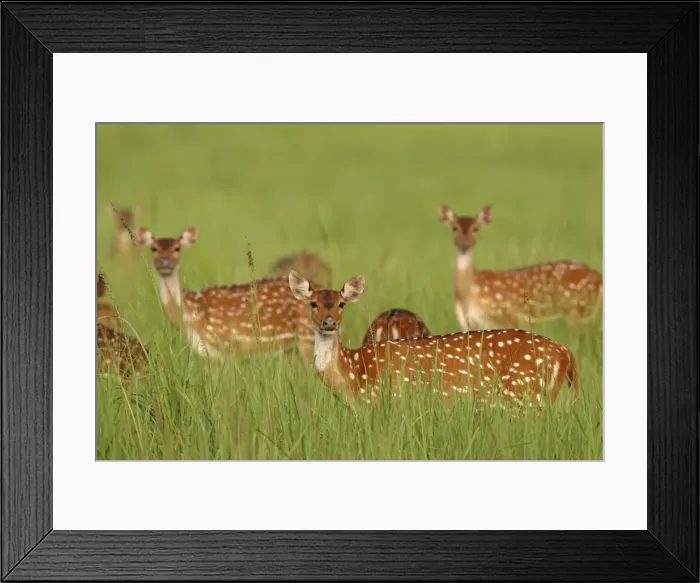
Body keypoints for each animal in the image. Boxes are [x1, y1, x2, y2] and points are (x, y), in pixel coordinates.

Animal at [135, 225, 317, 363]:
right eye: (153, 248)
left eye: (177, 248)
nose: (164, 263)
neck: (191, 315)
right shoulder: (209, 356)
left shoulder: (228, 346)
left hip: (308, 338)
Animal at [288, 270, 580, 411]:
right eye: (313, 303)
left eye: (341, 304)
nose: (329, 322)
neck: (353, 373)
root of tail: (567, 353)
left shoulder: (393, 400)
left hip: (526, 393)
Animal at [438, 204, 603, 333]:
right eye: (454, 228)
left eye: (476, 228)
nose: (464, 244)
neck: (468, 294)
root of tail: (599, 277)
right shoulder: (467, 324)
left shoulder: (506, 318)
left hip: (579, 311)